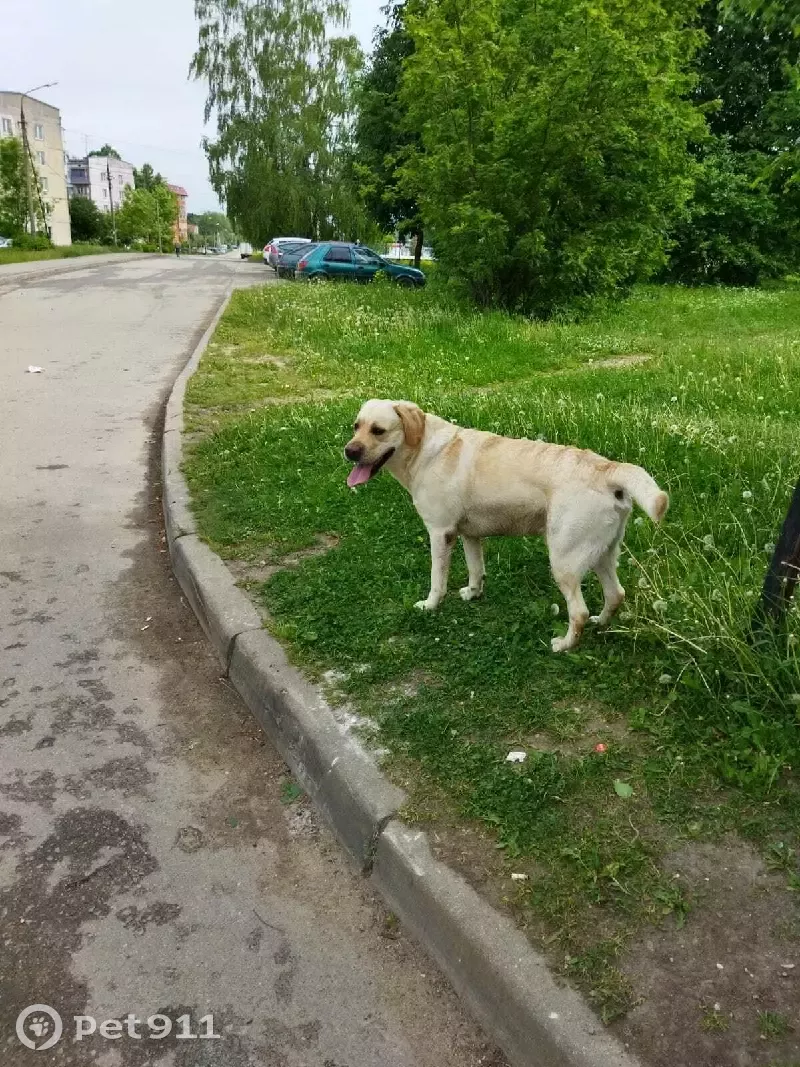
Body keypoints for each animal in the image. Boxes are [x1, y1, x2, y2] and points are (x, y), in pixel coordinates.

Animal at [345, 401, 669, 648]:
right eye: (355, 426)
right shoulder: (469, 535)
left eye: (378, 430)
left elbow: (437, 580)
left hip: (563, 560)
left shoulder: (440, 533)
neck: (425, 449)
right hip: (602, 553)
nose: (348, 451)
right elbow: (476, 570)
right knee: (615, 595)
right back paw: (599, 624)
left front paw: (430, 606)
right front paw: (473, 593)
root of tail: (608, 468)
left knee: (577, 611)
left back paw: (565, 645)